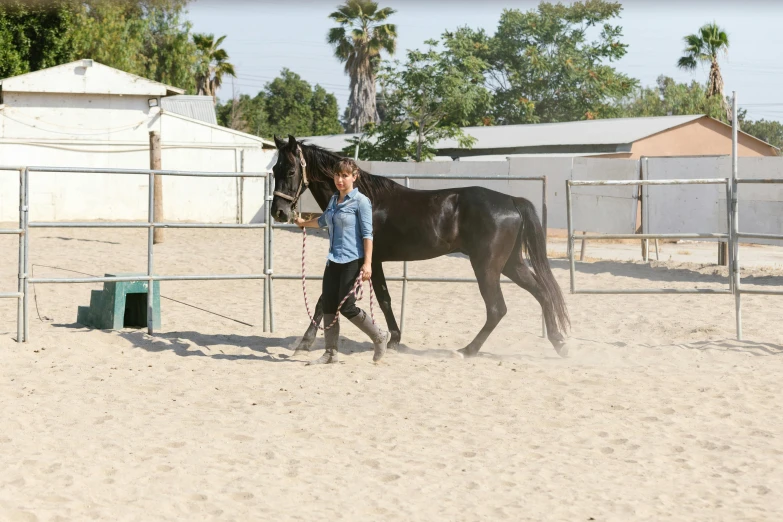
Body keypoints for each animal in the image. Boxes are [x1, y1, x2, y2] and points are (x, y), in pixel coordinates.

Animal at [270, 134, 568, 358]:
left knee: (497, 309)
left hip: (487, 267)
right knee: (542, 293)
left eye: (291, 170)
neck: (366, 199)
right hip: (510, 263)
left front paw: (304, 343)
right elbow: (376, 298)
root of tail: (512, 201)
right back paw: (559, 343)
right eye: (274, 170)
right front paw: (393, 339)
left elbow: (340, 299)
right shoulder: (372, 263)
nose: (279, 212)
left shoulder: (367, 261)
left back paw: (467, 350)